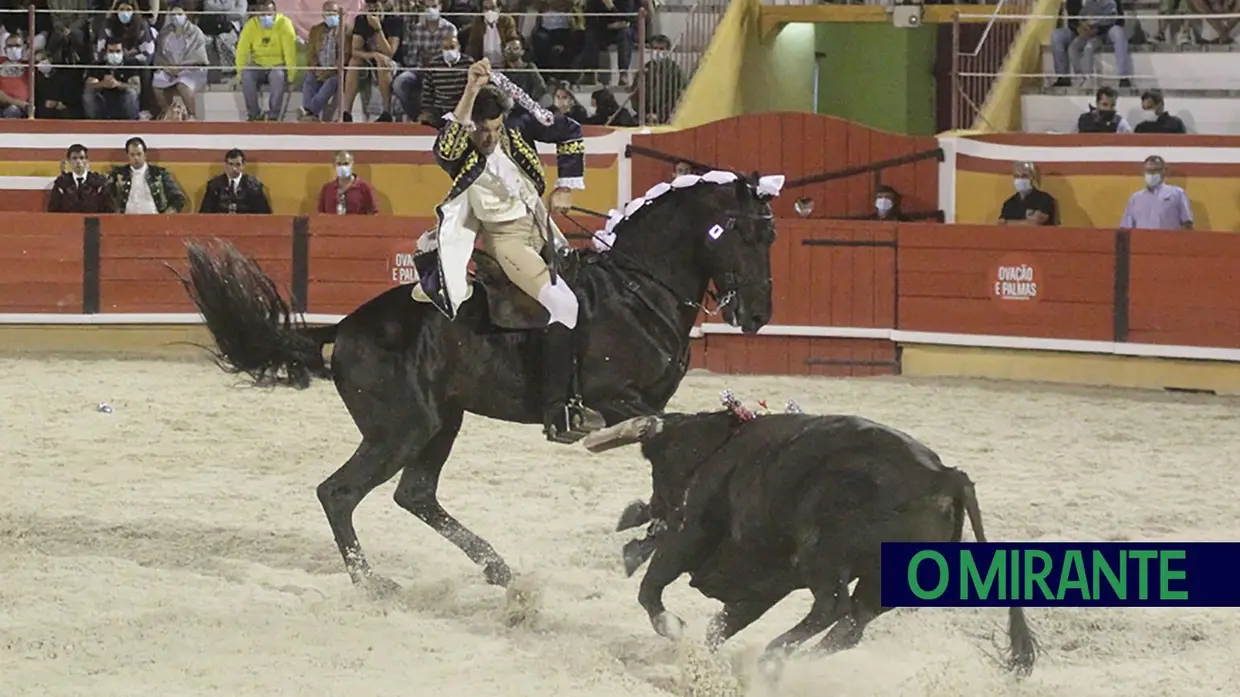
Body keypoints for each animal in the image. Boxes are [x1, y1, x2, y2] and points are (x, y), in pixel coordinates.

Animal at [179, 171, 778, 587]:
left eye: (771, 237)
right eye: (744, 234)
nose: (757, 313)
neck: (637, 290)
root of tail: (348, 328)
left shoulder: (648, 408)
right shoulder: (619, 400)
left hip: (442, 422)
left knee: (414, 495)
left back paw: (496, 568)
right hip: (402, 430)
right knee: (339, 492)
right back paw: (372, 583)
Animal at [580, 409, 1036, 674]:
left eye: (658, 467)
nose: (645, 512)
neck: (716, 448)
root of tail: (945, 476)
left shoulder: (688, 535)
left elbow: (651, 590)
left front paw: (673, 629)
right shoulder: (763, 585)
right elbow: (720, 626)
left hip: (823, 556)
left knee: (832, 606)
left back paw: (773, 657)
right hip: (885, 582)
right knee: (850, 624)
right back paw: (788, 662)